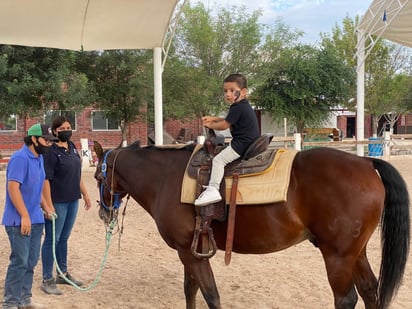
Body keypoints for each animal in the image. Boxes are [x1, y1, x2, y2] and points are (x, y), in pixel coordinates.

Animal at [93, 141, 408, 308]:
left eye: (97, 177)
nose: (103, 213)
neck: (165, 179)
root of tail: (366, 162)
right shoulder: (189, 251)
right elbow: (190, 290)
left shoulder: (190, 253)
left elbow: (210, 294)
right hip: (356, 252)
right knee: (370, 290)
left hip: (338, 257)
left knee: (346, 299)